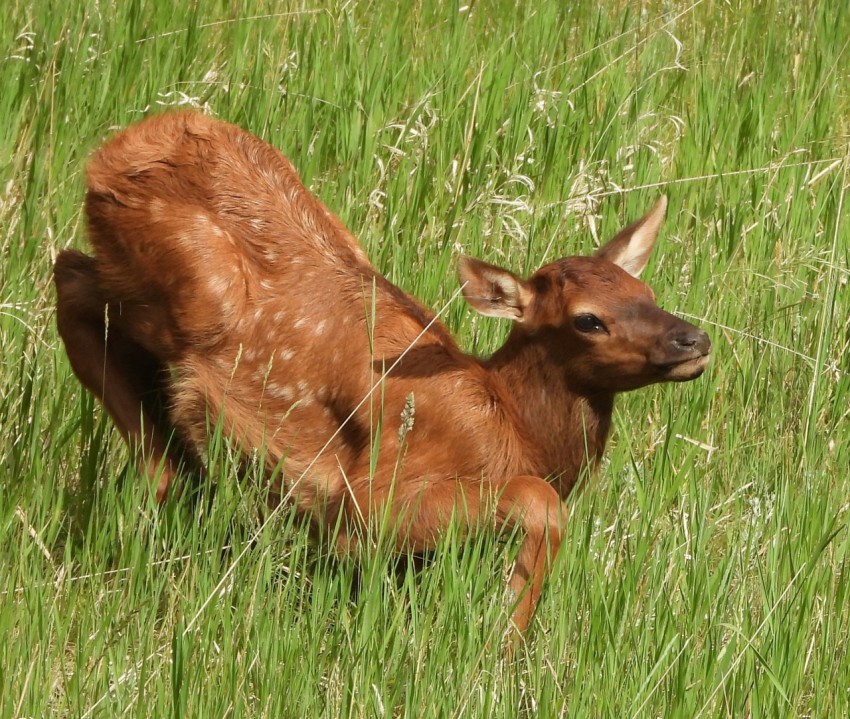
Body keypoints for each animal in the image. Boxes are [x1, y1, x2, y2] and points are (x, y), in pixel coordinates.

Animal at [53, 112, 708, 636]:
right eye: (588, 320)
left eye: (647, 294)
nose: (694, 340)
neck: (511, 427)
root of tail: (115, 150)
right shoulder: (369, 502)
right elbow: (540, 503)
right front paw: (504, 639)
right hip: (184, 290)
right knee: (72, 280)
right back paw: (165, 473)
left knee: (74, 275)